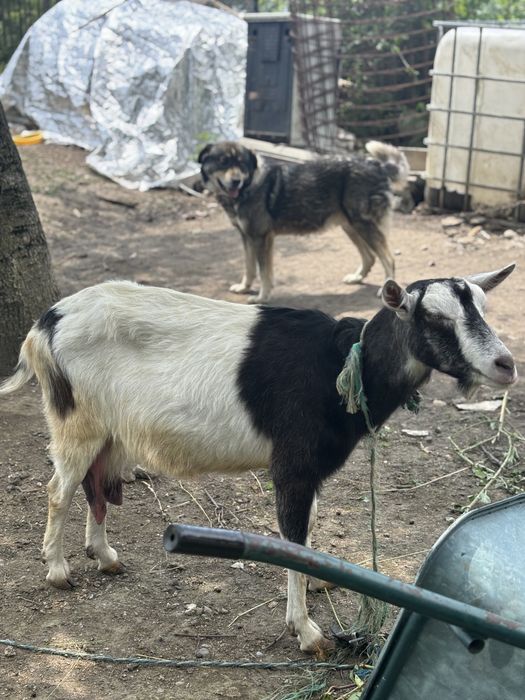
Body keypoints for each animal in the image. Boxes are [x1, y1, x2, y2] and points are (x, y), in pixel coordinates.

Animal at [0, 265, 517, 654]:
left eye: (483, 308)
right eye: (434, 318)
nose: (506, 366)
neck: (345, 366)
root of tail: (44, 326)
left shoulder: (310, 474)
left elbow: (307, 531)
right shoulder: (292, 467)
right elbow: (293, 537)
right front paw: (307, 633)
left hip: (108, 428)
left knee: (96, 486)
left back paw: (105, 556)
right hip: (75, 418)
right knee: (60, 489)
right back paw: (58, 570)